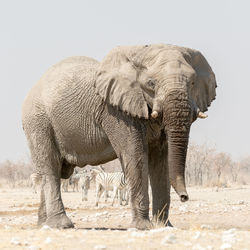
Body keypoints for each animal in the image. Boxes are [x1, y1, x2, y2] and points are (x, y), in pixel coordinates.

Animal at [22, 44, 217, 229]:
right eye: (151, 83)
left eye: (193, 82)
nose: (184, 197)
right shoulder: (116, 112)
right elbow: (135, 155)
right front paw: (143, 227)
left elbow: (161, 160)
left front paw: (164, 227)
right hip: (38, 122)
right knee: (51, 166)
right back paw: (61, 225)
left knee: (55, 171)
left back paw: (44, 225)